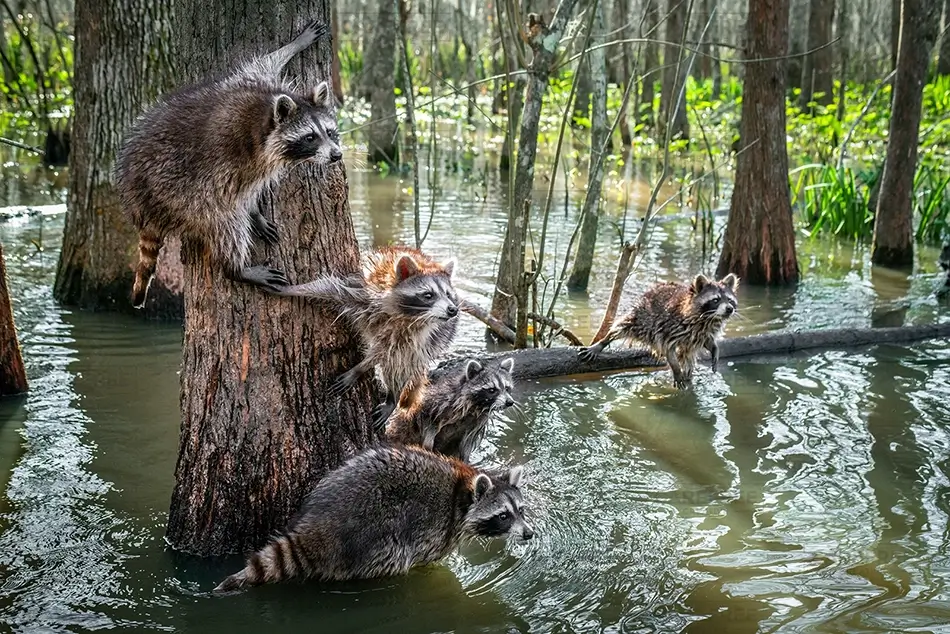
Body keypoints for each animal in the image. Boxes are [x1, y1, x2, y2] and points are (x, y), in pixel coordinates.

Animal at [115, 20, 343, 308]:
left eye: (330, 132)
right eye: (310, 137)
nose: (336, 155)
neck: (265, 116)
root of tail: (138, 203)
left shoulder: (255, 81)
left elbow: (267, 61)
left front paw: (297, 43)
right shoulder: (234, 161)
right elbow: (238, 192)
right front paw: (252, 213)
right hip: (176, 193)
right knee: (223, 220)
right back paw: (236, 269)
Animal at [214, 445, 532, 592]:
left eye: (521, 510)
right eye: (503, 516)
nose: (529, 533)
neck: (462, 490)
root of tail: (319, 526)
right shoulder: (436, 527)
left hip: (337, 476)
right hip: (377, 536)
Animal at [280, 246, 459, 426]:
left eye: (448, 295)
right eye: (428, 295)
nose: (453, 309)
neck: (408, 316)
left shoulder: (421, 334)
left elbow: (387, 354)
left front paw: (360, 368)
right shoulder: (365, 293)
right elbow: (333, 289)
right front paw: (292, 289)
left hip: (437, 338)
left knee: (402, 360)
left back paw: (393, 396)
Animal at [385, 358, 515, 462]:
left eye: (507, 388)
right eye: (492, 390)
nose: (509, 402)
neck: (475, 406)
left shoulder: (476, 423)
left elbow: (467, 444)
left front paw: (465, 459)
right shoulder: (437, 403)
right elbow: (428, 422)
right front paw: (428, 445)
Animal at [579, 273, 739, 388]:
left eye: (730, 300)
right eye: (716, 300)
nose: (729, 309)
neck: (707, 318)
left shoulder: (702, 332)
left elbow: (707, 340)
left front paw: (714, 349)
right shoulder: (671, 327)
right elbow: (668, 348)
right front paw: (676, 370)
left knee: (688, 361)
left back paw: (688, 377)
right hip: (641, 316)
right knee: (621, 326)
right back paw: (603, 342)